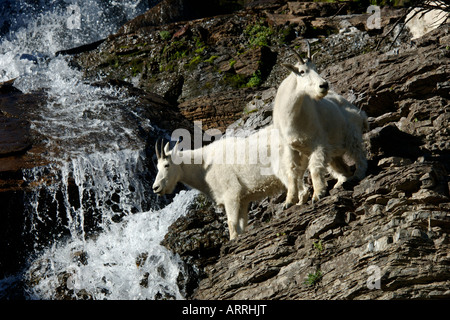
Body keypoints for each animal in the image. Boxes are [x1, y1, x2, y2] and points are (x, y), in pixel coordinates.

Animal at [272, 42, 368, 208]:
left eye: (316, 68)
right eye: (302, 71)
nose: (324, 85)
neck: (290, 115)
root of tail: (360, 113)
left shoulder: (317, 142)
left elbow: (315, 168)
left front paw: (317, 195)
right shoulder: (290, 148)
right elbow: (292, 172)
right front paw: (289, 201)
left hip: (352, 135)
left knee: (359, 155)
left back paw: (357, 175)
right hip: (334, 150)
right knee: (341, 166)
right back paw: (342, 181)